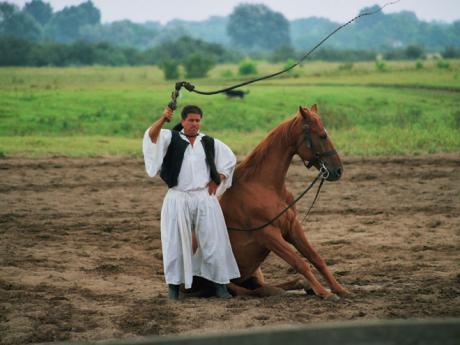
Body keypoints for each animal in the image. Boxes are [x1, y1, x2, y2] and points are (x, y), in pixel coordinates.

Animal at [220, 103, 348, 298]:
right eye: (322, 135)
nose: (338, 170)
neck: (264, 186)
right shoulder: (269, 235)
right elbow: (299, 262)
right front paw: (323, 292)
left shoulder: (292, 226)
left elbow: (315, 258)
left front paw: (338, 288)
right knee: (249, 291)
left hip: (255, 272)